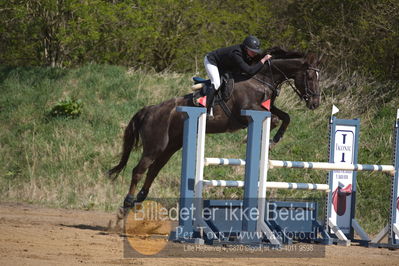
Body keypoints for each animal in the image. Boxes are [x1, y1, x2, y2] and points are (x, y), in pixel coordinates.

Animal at [108, 51, 324, 212]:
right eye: (310, 76)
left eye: (318, 77)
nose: (315, 103)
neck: (261, 79)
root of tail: (150, 109)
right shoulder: (247, 111)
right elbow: (276, 119)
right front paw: (253, 138)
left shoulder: (267, 107)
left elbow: (285, 117)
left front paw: (273, 140)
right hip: (155, 146)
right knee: (138, 170)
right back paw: (128, 201)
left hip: (171, 146)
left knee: (154, 169)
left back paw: (140, 197)